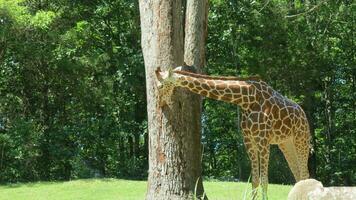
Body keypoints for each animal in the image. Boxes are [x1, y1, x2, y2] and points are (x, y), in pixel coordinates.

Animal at [154, 67, 310, 198]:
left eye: (160, 86)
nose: (160, 104)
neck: (246, 99)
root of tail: (303, 115)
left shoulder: (263, 139)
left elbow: (264, 180)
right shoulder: (248, 139)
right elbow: (255, 179)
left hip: (301, 139)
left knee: (304, 173)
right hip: (285, 143)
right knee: (299, 175)